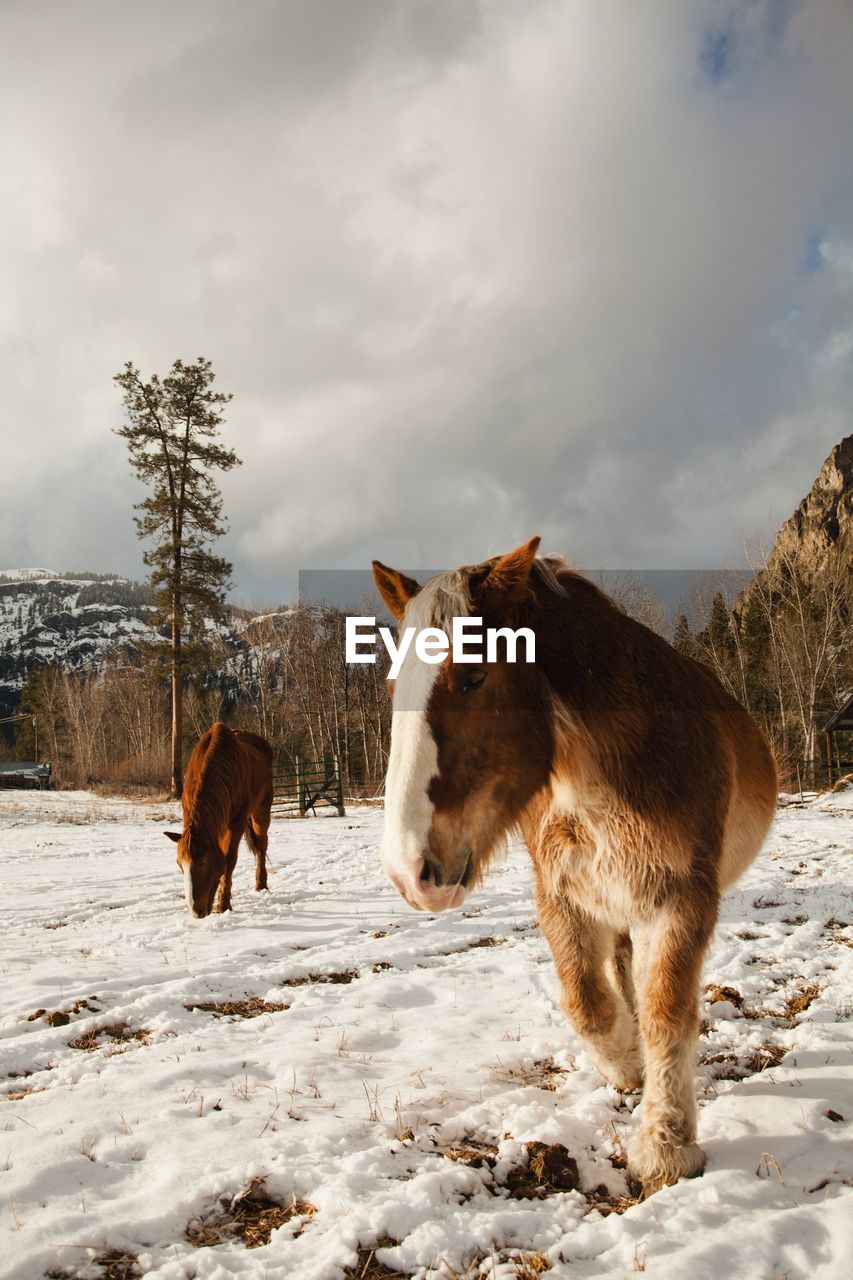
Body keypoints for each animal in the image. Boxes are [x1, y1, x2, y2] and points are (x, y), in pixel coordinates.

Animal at [163, 721, 272, 921]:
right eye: (179, 864)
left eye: (202, 861)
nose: (196, 911)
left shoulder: (236, 823)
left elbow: (229, 859)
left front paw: (223, 904)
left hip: (262, 808)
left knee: (261, 846)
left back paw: (261, 884)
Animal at [371, 540, 778, 1187]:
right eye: (393, 689)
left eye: (473, 676)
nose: (410, 871)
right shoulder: (563, 896)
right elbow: (587, 1002)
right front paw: (626, 1065)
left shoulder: (680, 898)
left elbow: (665, 1008)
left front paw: (666, 1141)